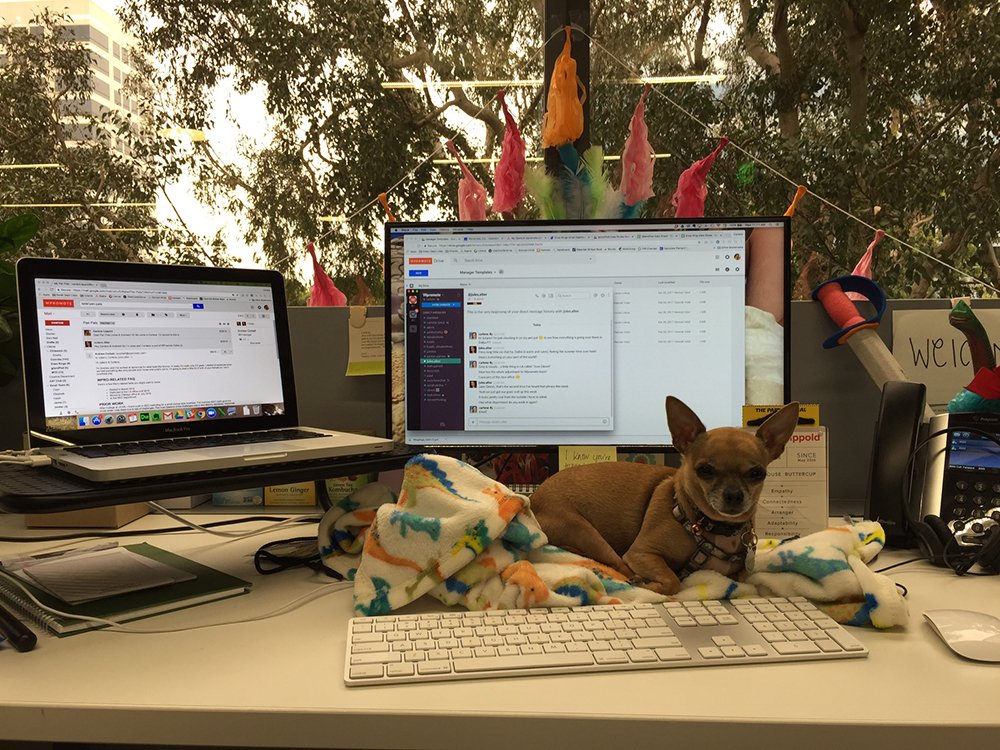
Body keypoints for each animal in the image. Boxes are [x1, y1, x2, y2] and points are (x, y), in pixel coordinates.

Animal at [528, 396, 800, 596]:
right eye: (705, 470)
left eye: (758, 474)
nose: (734, 495)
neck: (710, 526)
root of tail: (535, 496)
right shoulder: (642, 553)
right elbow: (672, 582)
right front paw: (655, 584)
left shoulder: (742, 572)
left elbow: (746, 578)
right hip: (585, 531)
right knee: (618, 565)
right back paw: (635, 579)